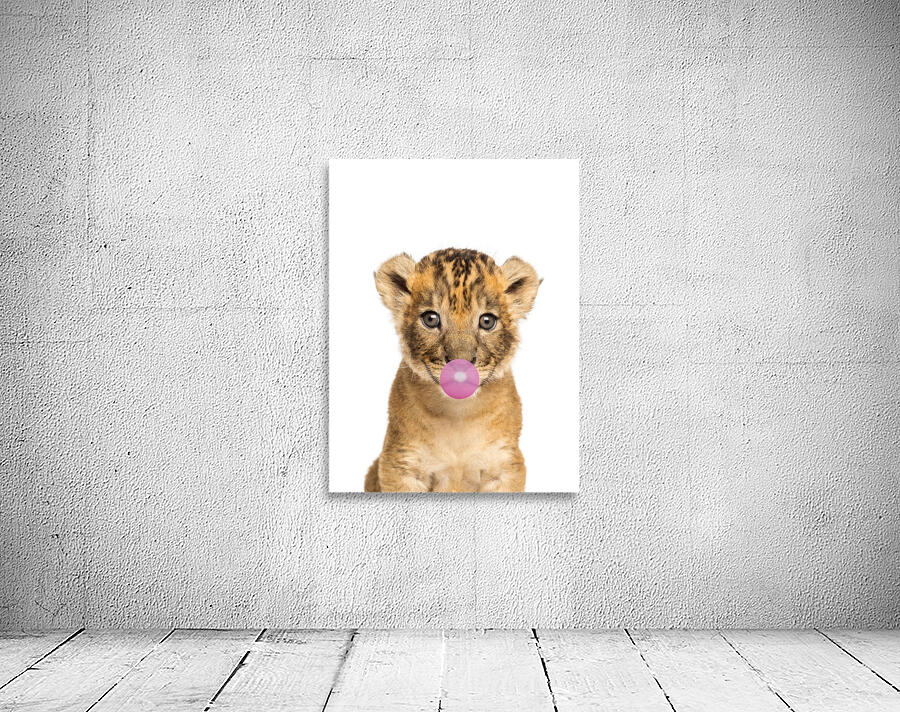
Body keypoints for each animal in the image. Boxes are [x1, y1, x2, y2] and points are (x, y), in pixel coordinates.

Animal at [365, 247, 541, 493]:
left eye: (487, 321)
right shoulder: (400, 464)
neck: (458, 415)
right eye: (431, 319)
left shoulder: (505, 465)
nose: (460, 363)